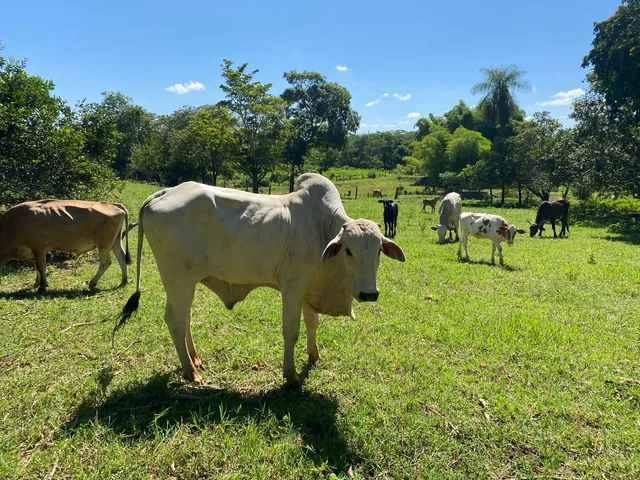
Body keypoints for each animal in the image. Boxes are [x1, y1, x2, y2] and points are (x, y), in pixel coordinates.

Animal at [0, 200, 132, 292]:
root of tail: (112, 204)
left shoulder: (38, 248)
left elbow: (41, 267)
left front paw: (42, 287)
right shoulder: (33, 252)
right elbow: (37, 267)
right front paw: (36, 284)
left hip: (104, 244)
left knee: (105, 262)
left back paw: (93, 282)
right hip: (115, 241)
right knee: (121, 258)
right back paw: (124, 281)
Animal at [115, 173, 405, 385]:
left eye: (378, 250)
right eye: (348, 250)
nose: (369, 294)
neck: (321, 227)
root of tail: (161, 193)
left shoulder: (309, 288)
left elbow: (312, 324)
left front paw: (314, 356)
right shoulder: (292, 286)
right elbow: (292, 331)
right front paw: (291, 375)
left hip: (186, 283)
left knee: (184, 317)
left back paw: (195, 359)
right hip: (177, 280)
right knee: (175, 320)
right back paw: (191, 372)